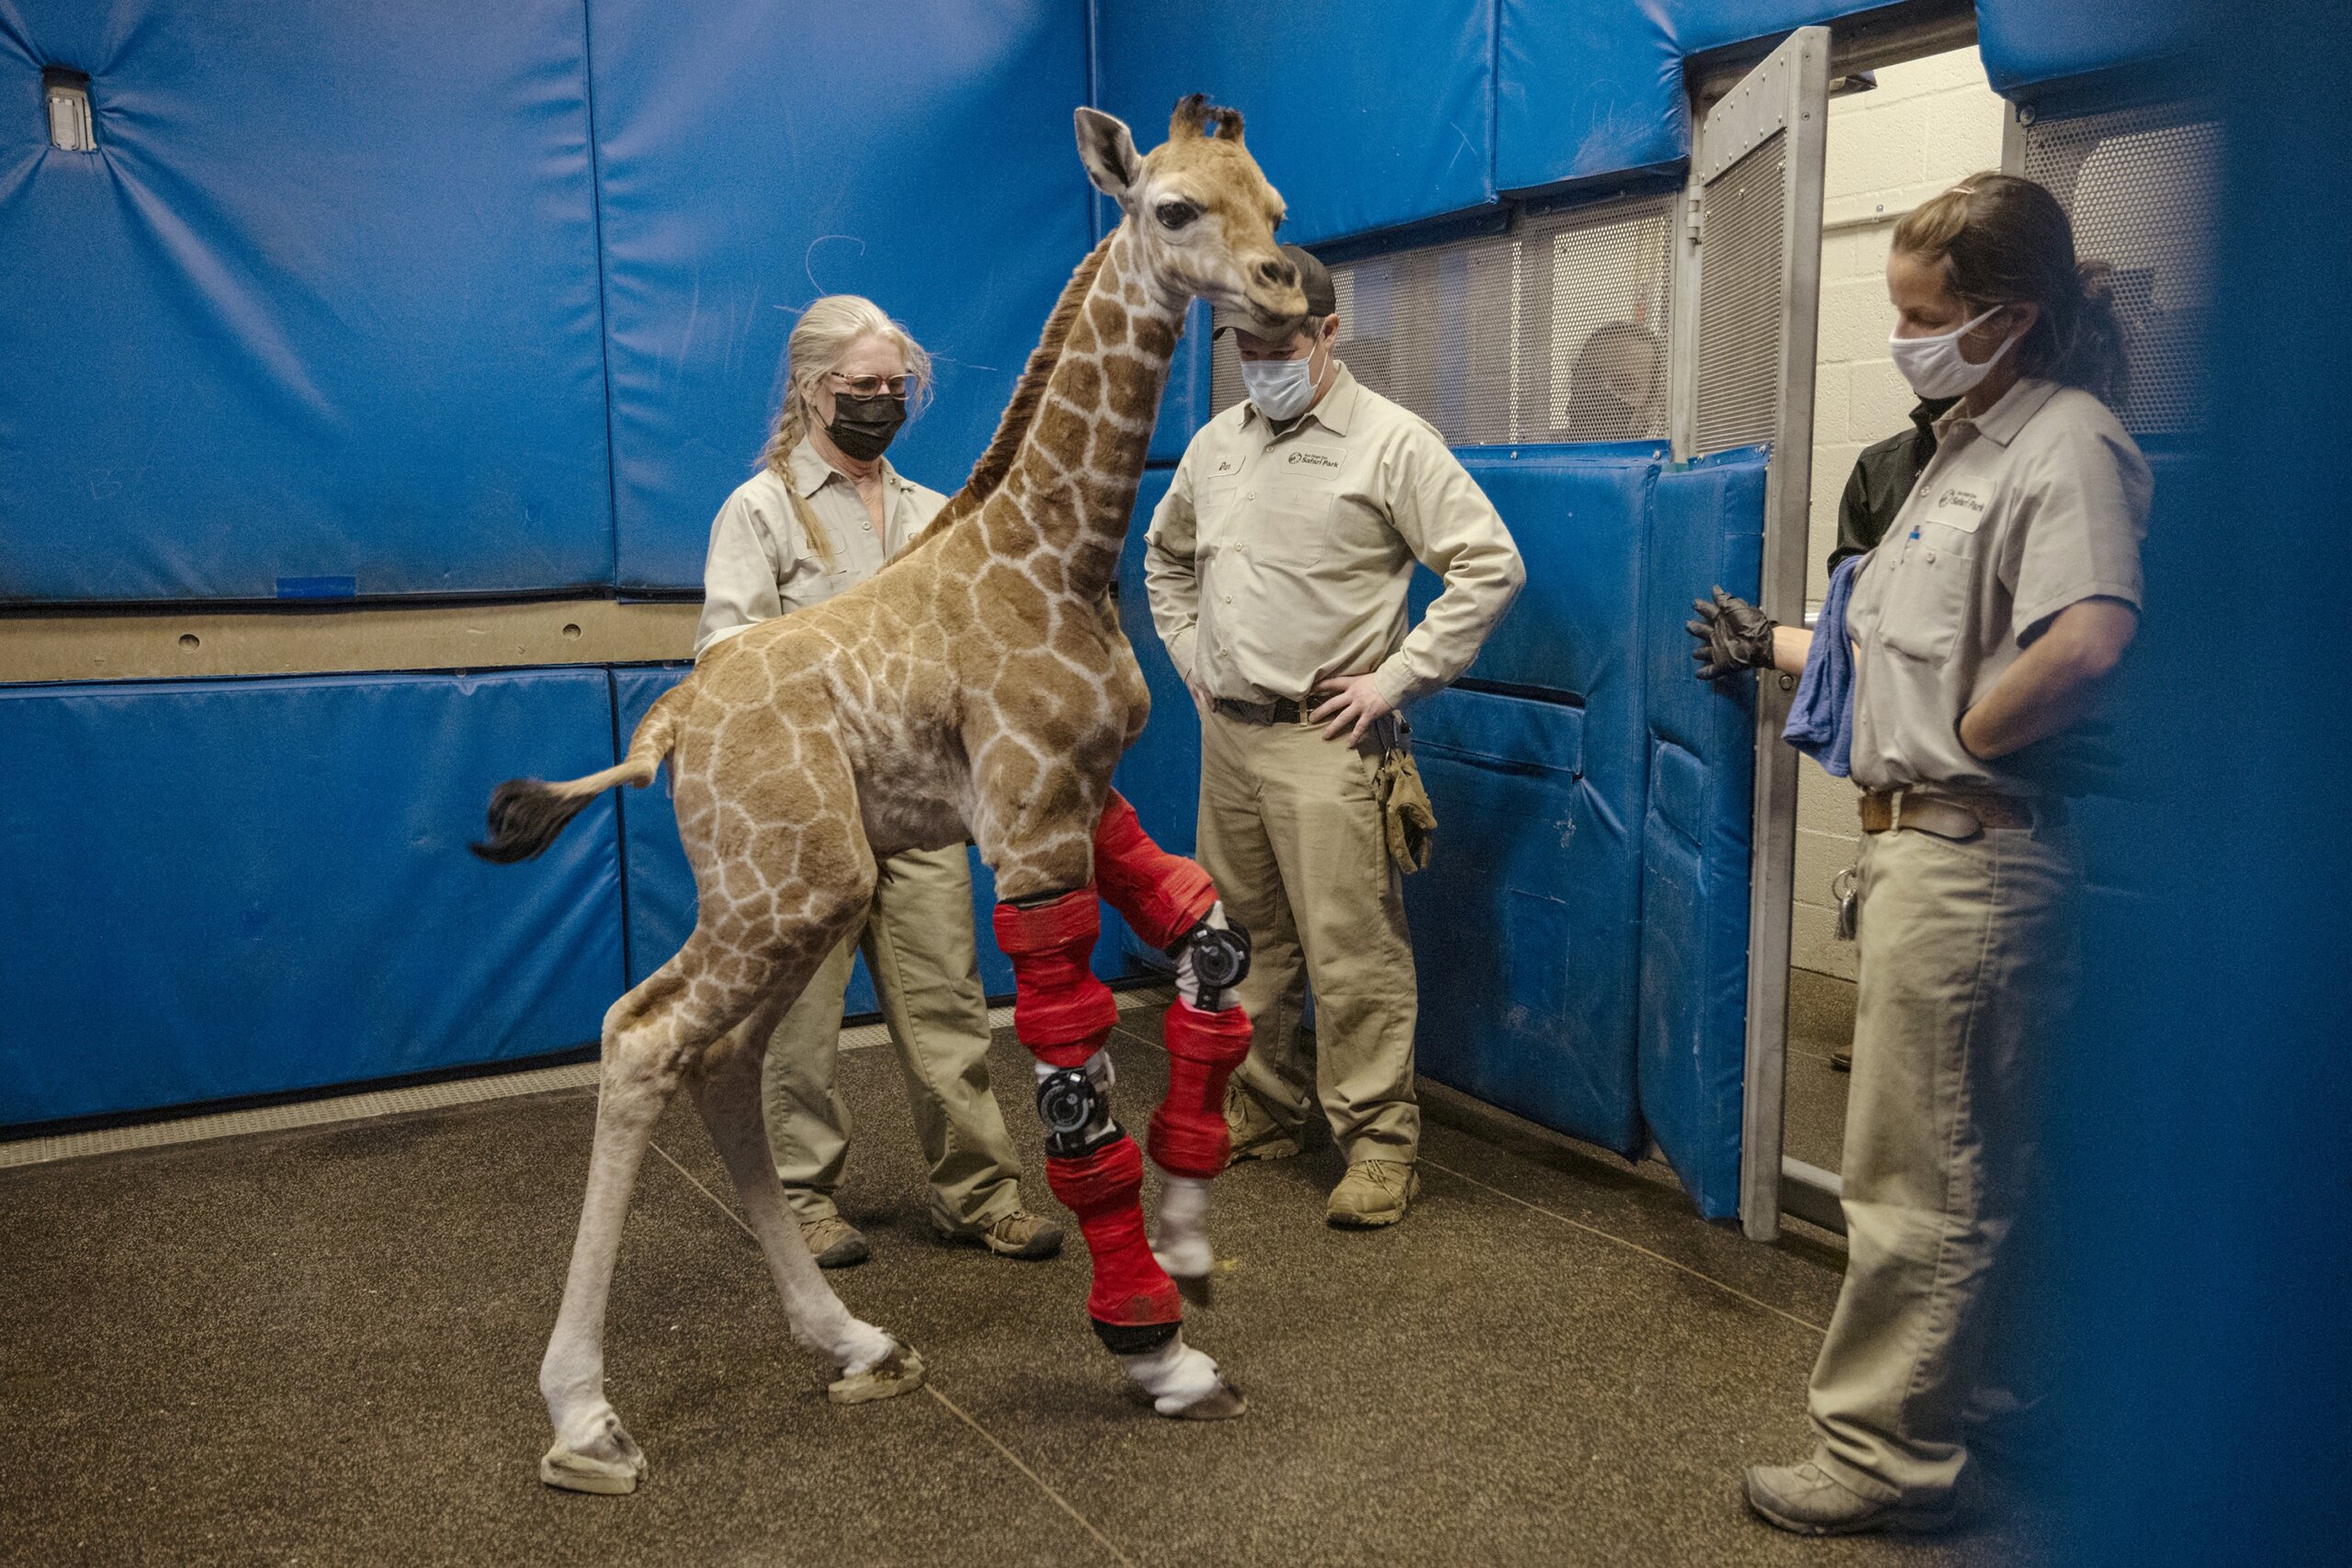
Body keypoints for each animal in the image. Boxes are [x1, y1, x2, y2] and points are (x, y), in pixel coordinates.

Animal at [472, 97, 1307, 1495]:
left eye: (1278, 207)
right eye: (1176, 207)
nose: (1295, 288)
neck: (1056, 553)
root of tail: (668, 730)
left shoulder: (1083, 798)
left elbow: (1212, 945)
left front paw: (1192, 1244)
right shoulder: (1029, 825)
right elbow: (1075, 1094)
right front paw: (1157, 1349)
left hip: (805, 892)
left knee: (721, 1059)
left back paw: (853, 1341)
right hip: (788, 882)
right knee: (643, 1034)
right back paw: (585, 1420)